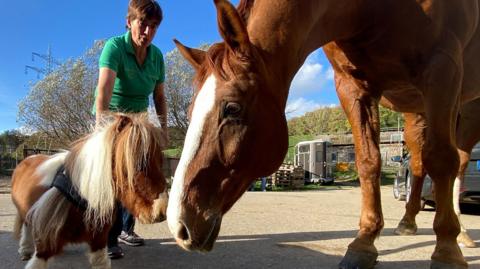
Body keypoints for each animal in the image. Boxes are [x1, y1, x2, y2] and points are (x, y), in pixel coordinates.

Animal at [11, 113, 169, 268]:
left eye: (161, 160)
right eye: (139, 162)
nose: (161, 211)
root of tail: (29, 157)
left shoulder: (98, 243)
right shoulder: (44, 249)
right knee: (25, 224)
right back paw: (25, 250)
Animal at [167, 0, 478, 266]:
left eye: (232, 108)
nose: (179, 224)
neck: (371, 11)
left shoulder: (443, 70)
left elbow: (441, 160)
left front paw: (446, 251)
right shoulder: (352, 86)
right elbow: (368, 161)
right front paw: (363, 243)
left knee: (457, 163)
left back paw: (460, 233)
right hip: (417, 109)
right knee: (419, 161)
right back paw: (409, 223)